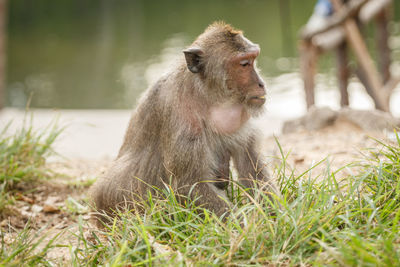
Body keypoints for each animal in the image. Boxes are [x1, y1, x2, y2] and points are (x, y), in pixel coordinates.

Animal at [90, 22, 278, 221]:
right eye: (244, 64)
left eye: (253, 59)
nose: (261, 83)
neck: (207, 97)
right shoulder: (182, 118)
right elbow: (190, 185)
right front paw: (245, 226)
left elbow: (251, 168)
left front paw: (275, 217)